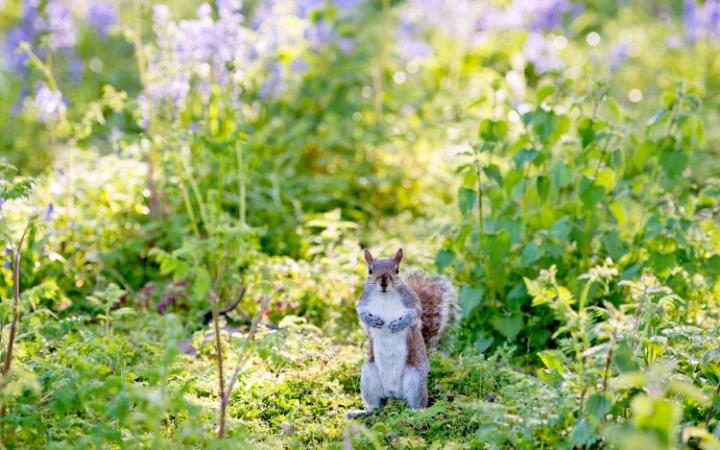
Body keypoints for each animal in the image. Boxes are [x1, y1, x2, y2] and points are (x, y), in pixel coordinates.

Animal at [348, 246, 458, 418]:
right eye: (370, 270)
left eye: (397, 270)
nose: (384, 282)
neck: (385, 296)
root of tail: (394, 394)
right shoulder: (364, 302)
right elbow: (361, 313)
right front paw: (372, 321)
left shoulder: (412, 302)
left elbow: (415, 313)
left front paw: (399, 324)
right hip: (368, 376)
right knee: (377, 406)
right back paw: (364, 412)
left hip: (415, 381)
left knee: (417, 405)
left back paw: (414, 414)